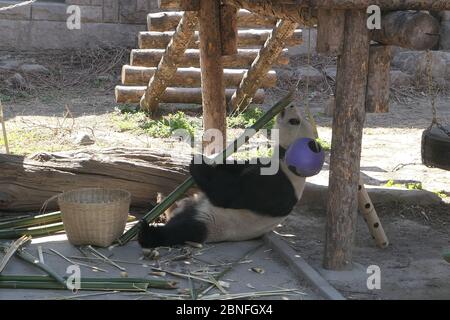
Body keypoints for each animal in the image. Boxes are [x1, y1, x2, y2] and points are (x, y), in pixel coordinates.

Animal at [138, 105, 316, 248]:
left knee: (184, 230)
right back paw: (161, 203)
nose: (290, 105)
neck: (287, 162)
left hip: (213, 223)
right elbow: (236, 168)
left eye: (294, 121)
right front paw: (213, 160)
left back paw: (146, 232)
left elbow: (229, 194)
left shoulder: (276, 185)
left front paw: (198, 164)